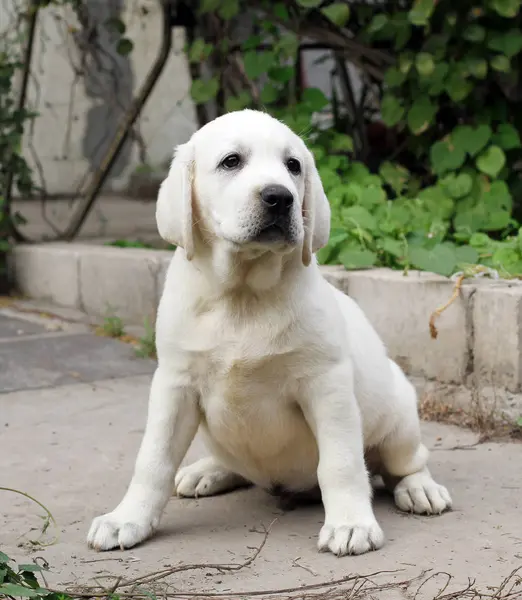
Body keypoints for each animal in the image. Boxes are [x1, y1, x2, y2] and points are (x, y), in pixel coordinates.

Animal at [87, 109, 448, 556]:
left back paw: (419, 489)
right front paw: (128, 519)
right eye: (231, 162)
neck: (242, 296)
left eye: (293, 166)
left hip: (399, 416)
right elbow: (152, 460)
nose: (280, 197)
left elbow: (342, 462)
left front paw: (350, 523)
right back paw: (208, 471)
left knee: (405, 463)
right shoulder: (174, 384)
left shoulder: (326, 385)